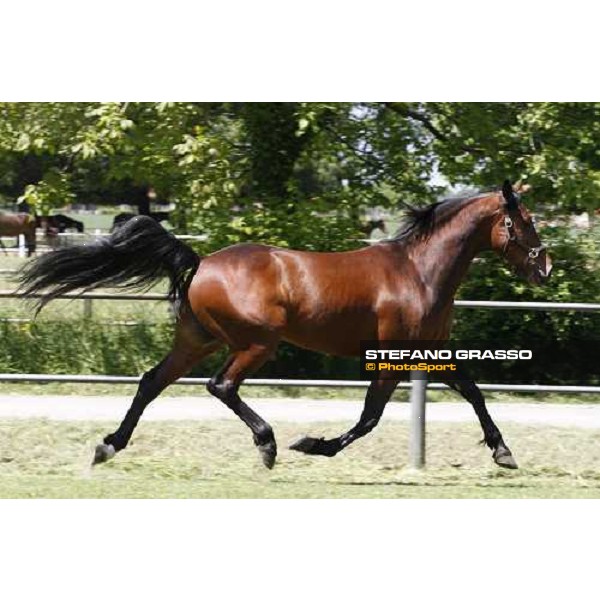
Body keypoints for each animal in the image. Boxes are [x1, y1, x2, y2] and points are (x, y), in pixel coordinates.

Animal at [17, 180, 552, 472]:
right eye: (525, 221)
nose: (545, 268)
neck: (419, 271)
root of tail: (201, 260)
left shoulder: (432, 350)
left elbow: (473, 391)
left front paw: (503, 452)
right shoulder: (391, 358)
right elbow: (369, 417)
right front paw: (312, 445)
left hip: (196, 339)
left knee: (152, 382)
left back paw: (108, 446)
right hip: (256, 344)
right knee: (221, 386)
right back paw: (269, 444)